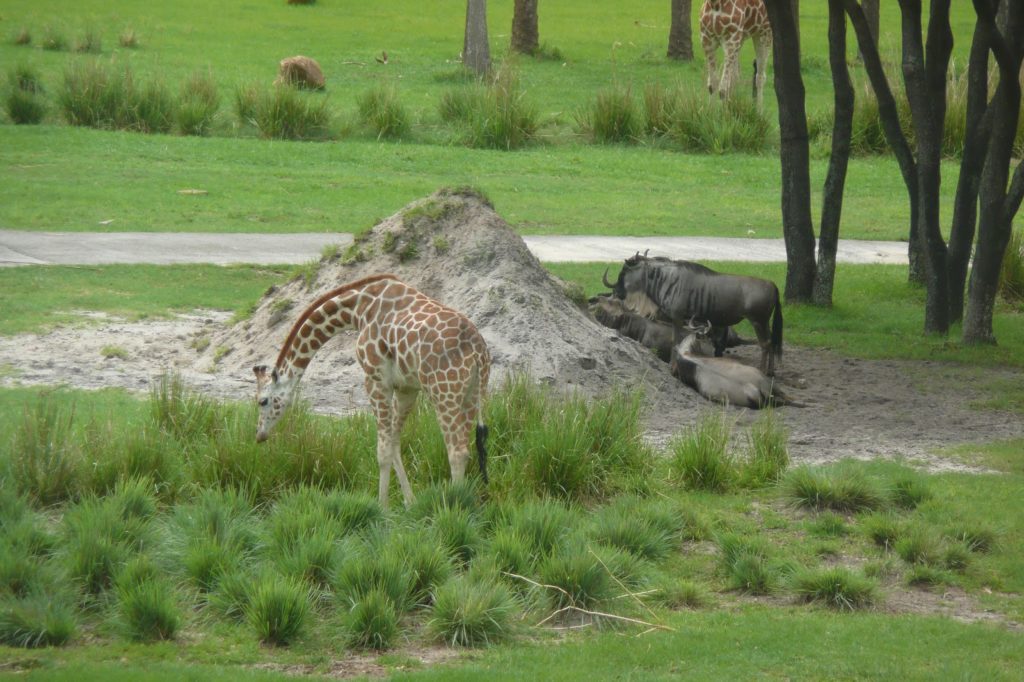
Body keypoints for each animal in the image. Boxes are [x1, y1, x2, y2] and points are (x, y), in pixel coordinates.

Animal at [258, 274, 493, 507]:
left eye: (262, 401)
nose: (259, 435)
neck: (358, 308)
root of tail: (477, 351)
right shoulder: (406, 387)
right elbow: (394, 442)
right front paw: (410, 502)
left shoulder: (375, 379)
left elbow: (382, 451)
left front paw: (382, 507)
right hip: (471, 395)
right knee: (467, 448)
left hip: (444, 393)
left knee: (457, 451)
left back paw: (454, 505)